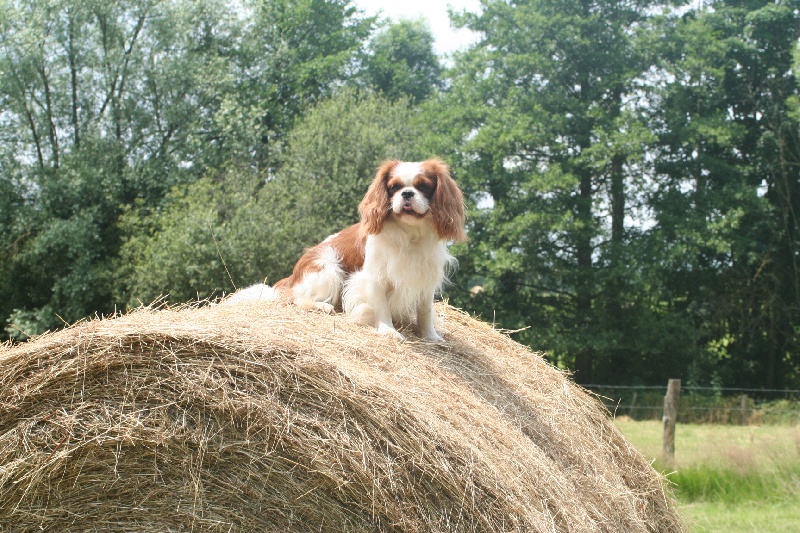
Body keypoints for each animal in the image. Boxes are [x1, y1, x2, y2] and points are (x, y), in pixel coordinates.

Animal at [231, 158, 466, 340]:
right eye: (394, 187)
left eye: (424, 186)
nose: (407, 194)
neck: (410, 233)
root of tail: (291, 277)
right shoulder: (374, 277)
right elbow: (382, 306)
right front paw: (388, 331)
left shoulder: (425, 278)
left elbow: (425, 311)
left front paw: (430, 337)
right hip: (328, 268)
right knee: (293, 297)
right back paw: (321, 306)